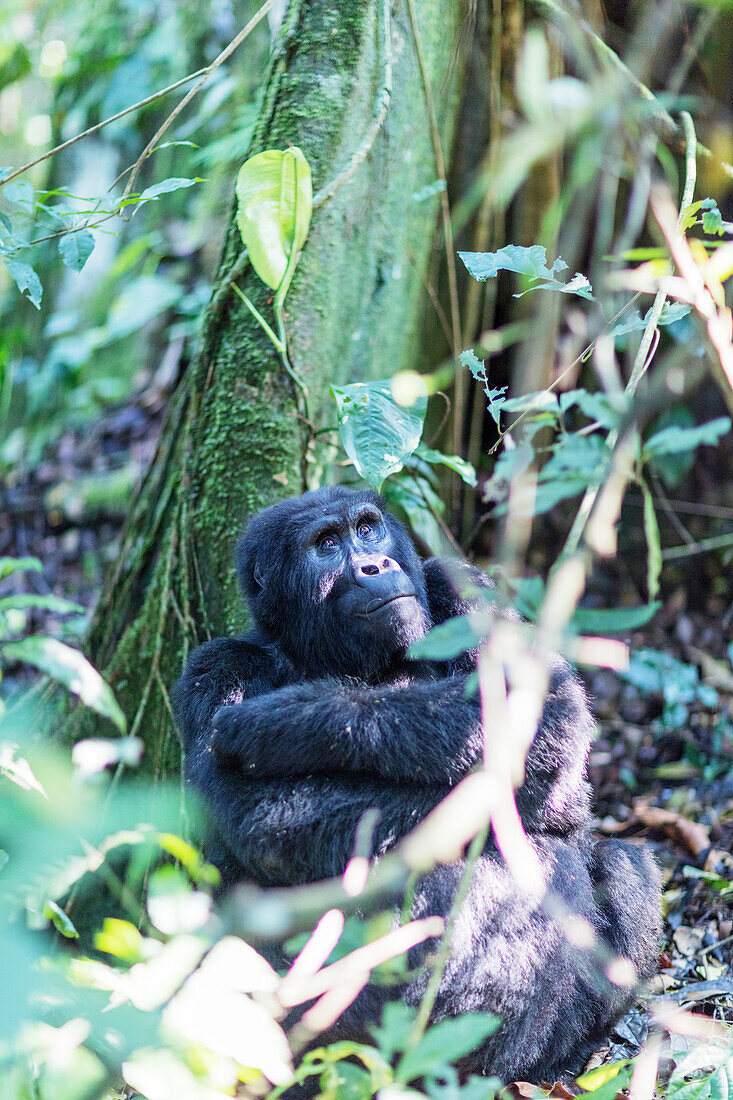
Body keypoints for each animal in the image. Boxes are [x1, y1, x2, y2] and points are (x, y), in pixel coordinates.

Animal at [169, 488, 655, 1082]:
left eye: (367, 529)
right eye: (326, 544)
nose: (374, 565)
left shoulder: (462, 585)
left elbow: (546, 709)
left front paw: (296, 717)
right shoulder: (216, 670)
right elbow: (261, 811)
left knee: (624, 862)